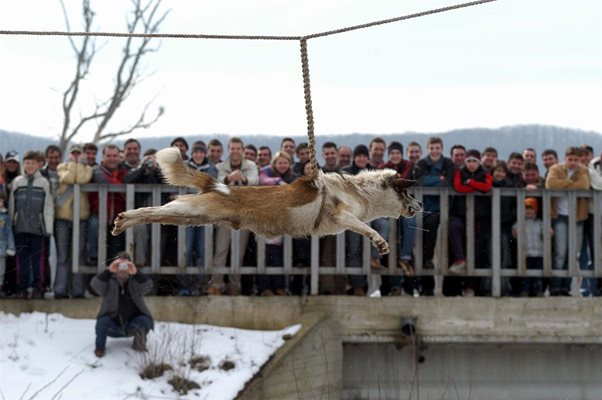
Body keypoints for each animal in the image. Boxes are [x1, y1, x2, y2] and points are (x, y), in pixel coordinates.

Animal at [112, 146, 422, 253]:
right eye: (409, 192)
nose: (420, 206)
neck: (358, 190)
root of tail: (219, 186)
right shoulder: (342, 215)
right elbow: (366, 227)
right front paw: (380, 243)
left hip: (191, 216)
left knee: (155, 213)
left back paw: (122, 223)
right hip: (190, 209)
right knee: (149, 209)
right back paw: (124, 219)